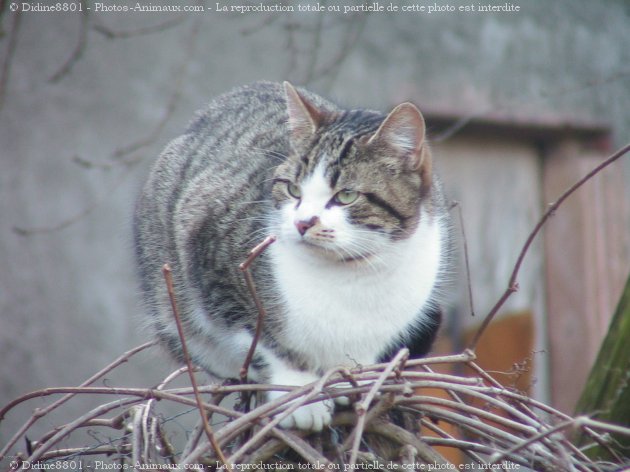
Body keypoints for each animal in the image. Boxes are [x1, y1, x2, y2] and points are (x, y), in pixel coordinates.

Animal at [135, 82, 454, 432]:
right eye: (292, 189)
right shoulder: (209, 247)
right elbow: (263, 337)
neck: (354, 274)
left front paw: (353, 379)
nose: (303, 222)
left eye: (346, 195)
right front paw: (298, 391)